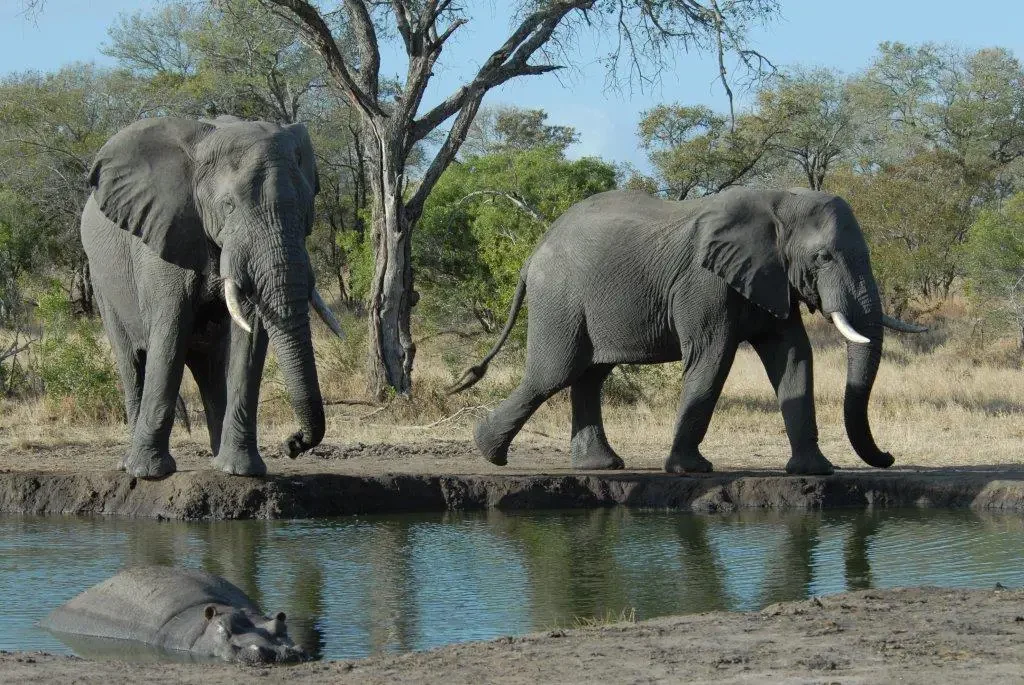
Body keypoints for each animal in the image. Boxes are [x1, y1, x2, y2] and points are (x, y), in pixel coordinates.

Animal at [81, 116, 343, 478]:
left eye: (307, 209)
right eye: (228, 206)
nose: (292, 444)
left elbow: (249, 338)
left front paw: (241, 471)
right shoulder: (163, 238)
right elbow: (170, 334)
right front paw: (149, 474)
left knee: (210, 369)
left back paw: (219, 460)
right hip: (101, 281)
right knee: (131, 359)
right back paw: (128, 465)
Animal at [451, 187, 925, 476]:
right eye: (823, 257)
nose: (888, 456)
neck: (780, 199)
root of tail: (532, 255)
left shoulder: (769, 278)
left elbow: (793, 357)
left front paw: (815, 471)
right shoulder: (704, 283)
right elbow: (712, 358)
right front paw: (691, 470)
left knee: (589, 376)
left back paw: (600, 466)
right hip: (560, 296)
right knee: (555, 372)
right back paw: (488, 451)